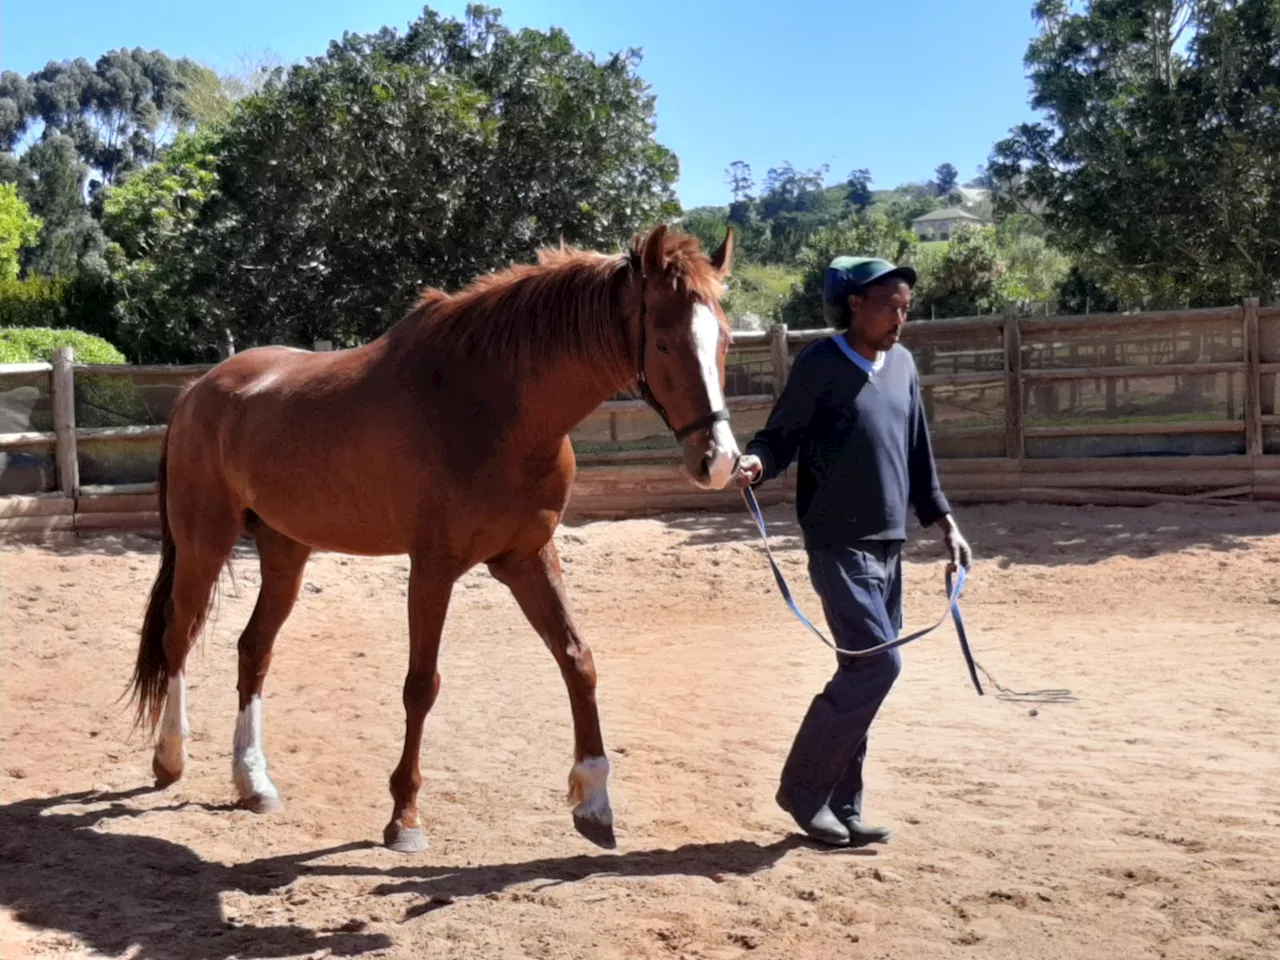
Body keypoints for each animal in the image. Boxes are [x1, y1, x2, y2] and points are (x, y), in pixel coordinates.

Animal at [129, 227, 742, 855]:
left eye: (723, 340)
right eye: (664, 343)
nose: (719, 462)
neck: (493, 406)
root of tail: (198, 390)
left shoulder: (526, 558)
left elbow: (578, 661)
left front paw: (594, 801)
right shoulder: (433, 567)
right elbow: (421, 685)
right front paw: (404, 816)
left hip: (285, 551)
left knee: (254, 650)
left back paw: (252, 781)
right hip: (205, 543)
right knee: (178, 637)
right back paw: (170, 758)